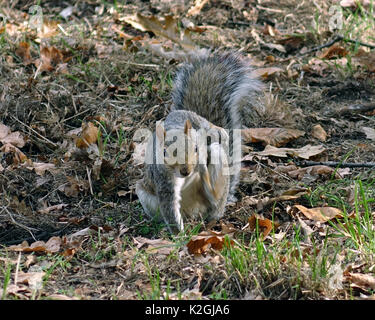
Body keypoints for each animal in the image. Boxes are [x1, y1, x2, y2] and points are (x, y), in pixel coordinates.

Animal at [137, 51, 262, 234]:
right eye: (165, 152)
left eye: (196, 147)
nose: (186, 171)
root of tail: (193, 214)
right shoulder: (163, 178)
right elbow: (169, 207)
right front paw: (180, 237)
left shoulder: (199, 125)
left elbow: (214, 129)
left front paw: (219, 133)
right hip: (145, 194)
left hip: (216, 169)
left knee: (214, 201)